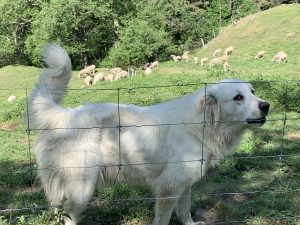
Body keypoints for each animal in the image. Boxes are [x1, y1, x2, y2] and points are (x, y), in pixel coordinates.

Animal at [29, 44, 270, 225]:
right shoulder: (168, 188)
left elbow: (185, 210)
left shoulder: (183, 183)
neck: (200, 124)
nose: (266, 106)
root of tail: (65, 114)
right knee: (69, 216)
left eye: (253, 92)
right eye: (238, 97)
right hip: (82, 187)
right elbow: (164, 218)